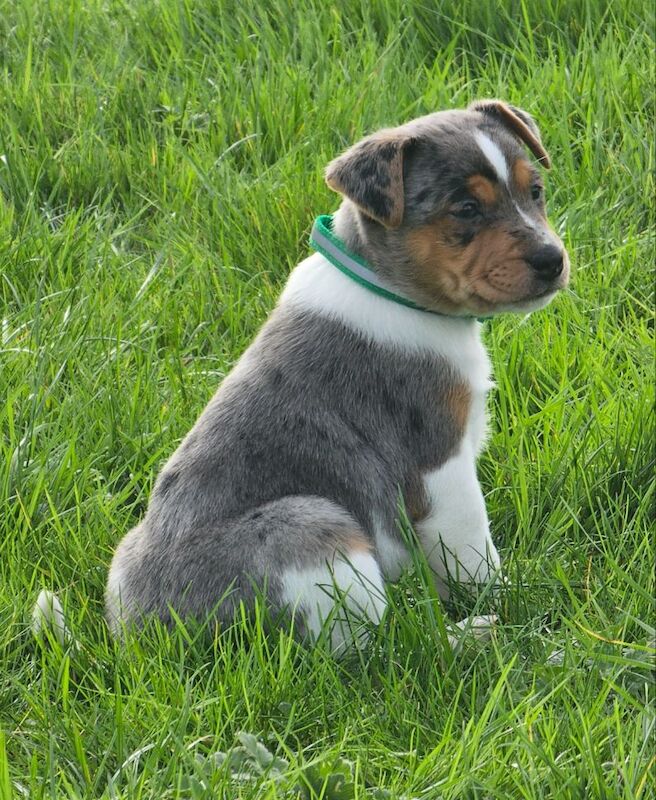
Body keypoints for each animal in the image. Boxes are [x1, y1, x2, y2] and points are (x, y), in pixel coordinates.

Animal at [78, 98, 568, 648]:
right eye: (466, 208)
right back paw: (474, 634)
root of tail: (147, 638)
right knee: (385, 646)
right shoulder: (440, 462)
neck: (388, 289)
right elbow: (474, 553)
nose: (553, 260)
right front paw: (514, 605)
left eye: (535, 191)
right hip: (314, 527)